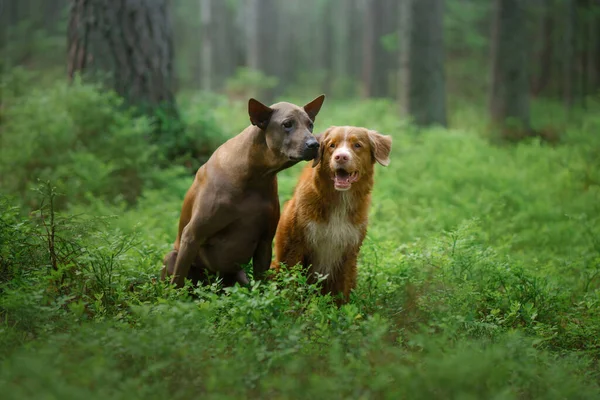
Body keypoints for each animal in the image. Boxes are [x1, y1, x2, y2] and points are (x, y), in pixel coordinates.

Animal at [162, 94, 326, 288]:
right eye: (287, 124)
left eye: (310, 124)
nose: (315, 144)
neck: (255, 176)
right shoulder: (192, 235)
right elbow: (178, 282)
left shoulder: (265, 241)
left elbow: (261, 283)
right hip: (172, 257)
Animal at [274, 125, 394, 304]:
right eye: (332, 145)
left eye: (357, 145)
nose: (341, 157)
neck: (339, 202)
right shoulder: (295, 247)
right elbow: (292, 287)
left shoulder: (349, 252)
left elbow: (342, 293)